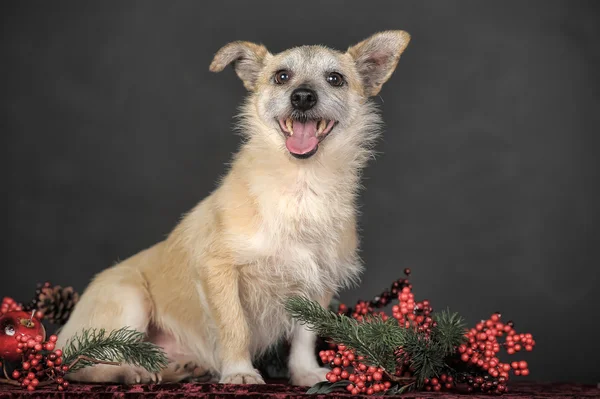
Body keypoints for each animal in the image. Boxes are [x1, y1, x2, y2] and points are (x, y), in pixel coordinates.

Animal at [57, 30, 408, 388]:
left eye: (335, 79)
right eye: (281, 76)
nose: (303, 97)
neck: (300, 187)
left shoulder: (318, 284)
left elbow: (305, 336)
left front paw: (305, 373)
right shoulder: (219, 271)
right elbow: (234, 327)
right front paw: (240, 371)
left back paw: (178, 369)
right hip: (129, 300)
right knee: (79, 364)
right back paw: (129, 372)